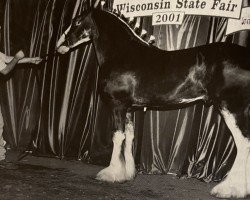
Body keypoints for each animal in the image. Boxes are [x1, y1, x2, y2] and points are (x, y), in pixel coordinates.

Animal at [56, 5, 250, 198]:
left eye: (77, 21)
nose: (59, 47)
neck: (122, 53)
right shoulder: (128, 109)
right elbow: (129, 137)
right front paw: (127, 173)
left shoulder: (118, 105)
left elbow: (118, 137)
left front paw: (110, 174)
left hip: (231, 108)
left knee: (243, 144)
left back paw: (228, 189)